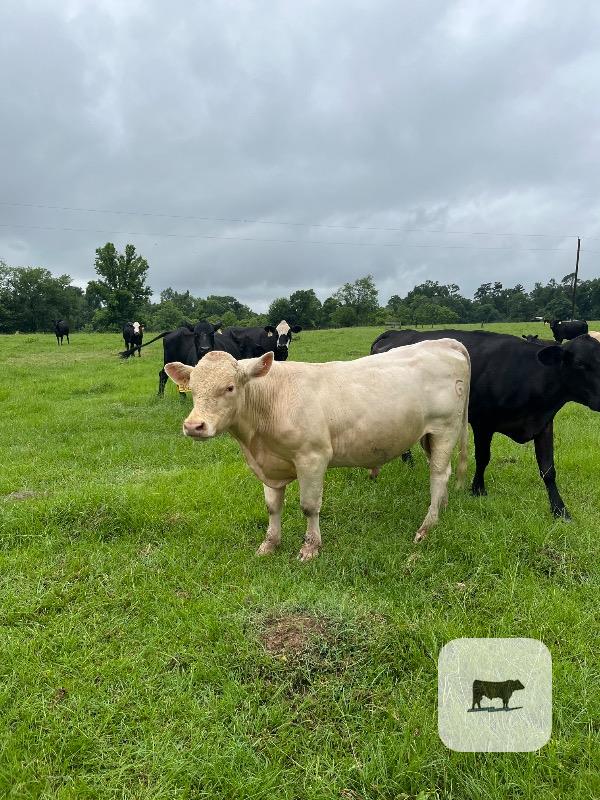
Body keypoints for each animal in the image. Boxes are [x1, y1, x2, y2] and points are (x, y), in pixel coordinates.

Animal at [164, 339, 470, 559]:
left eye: (229, 387)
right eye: (193, 389)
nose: (194, 425)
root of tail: (443, 342)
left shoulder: (312, 457)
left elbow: (309, 506)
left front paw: (310, 547)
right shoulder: (270, 465)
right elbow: (272, 506)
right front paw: (269, 545)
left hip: (445, 428)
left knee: (439, 474)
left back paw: (426, 527)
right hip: (428, 436)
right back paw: (441, 508)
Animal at [370, 329, 600, 519]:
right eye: (580, 364)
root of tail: (397, 332)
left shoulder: (544, 424)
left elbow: (548, 469)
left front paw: (560, 510)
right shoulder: (483, 422)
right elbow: (483, 457)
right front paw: (478, 489)